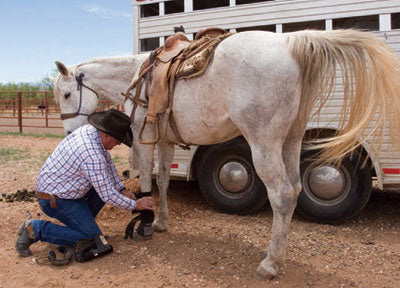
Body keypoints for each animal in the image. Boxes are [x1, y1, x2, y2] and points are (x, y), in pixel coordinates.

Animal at [55, 30, 400, 280]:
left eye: (67, 93)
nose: (69, 132)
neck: (135, 74)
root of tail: (290, 44)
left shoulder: (144, 141)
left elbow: (145, 186)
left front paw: (145, 223)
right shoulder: (165, 142)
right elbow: (163, 181)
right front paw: (162, 221)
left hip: (263, 144)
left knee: (282, 195)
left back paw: (269, 264)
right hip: (291, 140)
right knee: (295, 188)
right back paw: (277, 256)